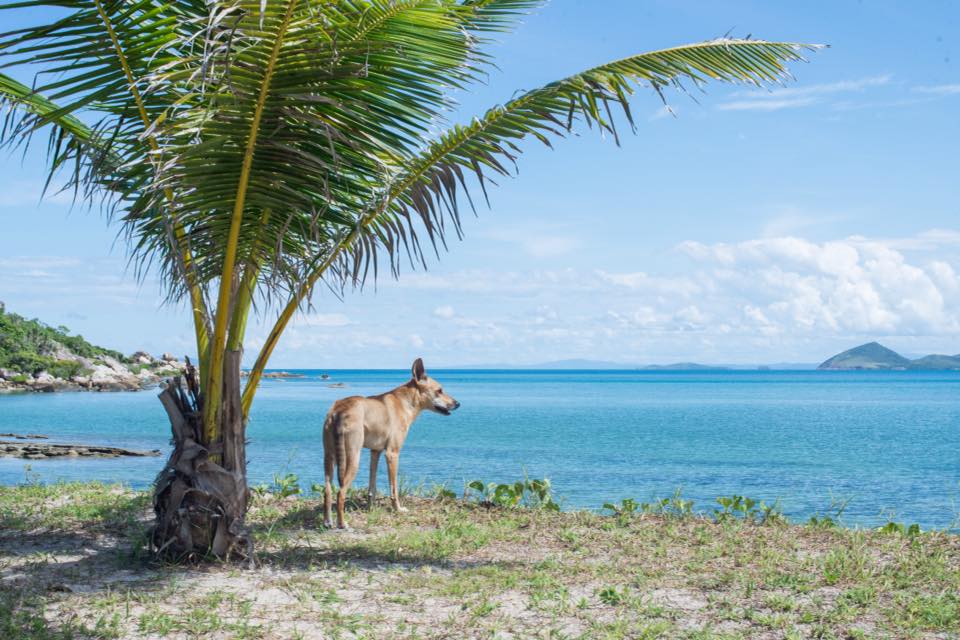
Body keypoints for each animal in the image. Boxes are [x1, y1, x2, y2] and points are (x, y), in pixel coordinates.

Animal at [320, 356, 460, 528]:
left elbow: (372, 486)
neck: (405, 401)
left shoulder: (375, 452)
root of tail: (339, 409)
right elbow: (394, 488)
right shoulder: (392, 454)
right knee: (340, 492)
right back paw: (342, 523)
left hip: (329, 456)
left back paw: (327, 521)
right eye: (439, 390)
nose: (457, 403)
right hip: (353, 457)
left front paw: (371, 508)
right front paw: (397, 509)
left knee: (327, 490)